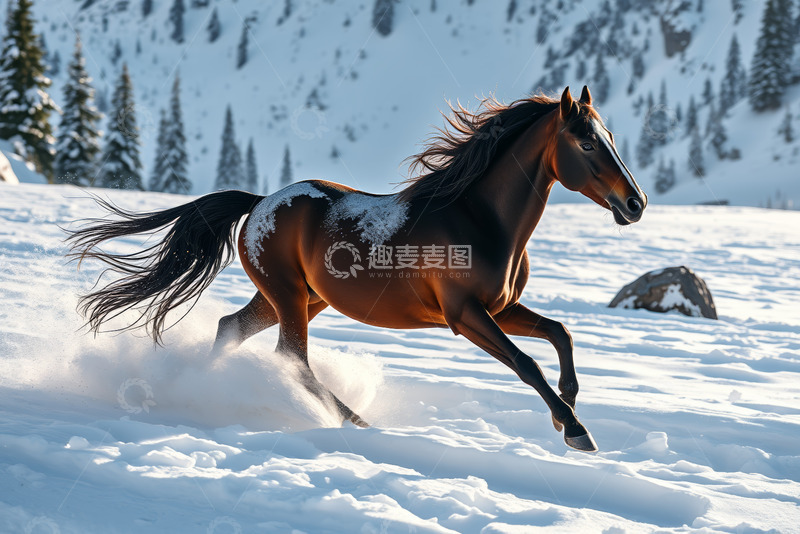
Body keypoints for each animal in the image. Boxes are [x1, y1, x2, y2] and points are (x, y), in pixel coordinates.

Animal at [68, 86, 647, 452]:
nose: (635, 203)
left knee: (233, 328)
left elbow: (560, 332)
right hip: (289, 297)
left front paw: (568, 405)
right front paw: (576, 431)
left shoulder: (501, 308)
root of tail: (258, 204)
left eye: (612, 137)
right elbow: (527, 363)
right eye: (587, 141)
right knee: (291, 358)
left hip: (299, 298)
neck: (478, 219)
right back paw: (356, 421)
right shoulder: (465, 315)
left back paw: (200, 394)